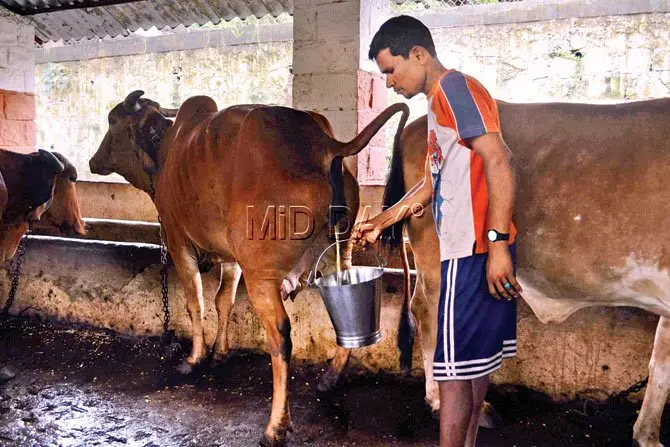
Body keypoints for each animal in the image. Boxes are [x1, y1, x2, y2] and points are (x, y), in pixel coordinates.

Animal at [89, 92, 410, 447]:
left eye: (112, 120)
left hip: (261, 276)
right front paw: (220, 352)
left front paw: (194, 358)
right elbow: (223, 300)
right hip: (335, 256)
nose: (93, 161)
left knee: (280, 337)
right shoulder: (231, 258)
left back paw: (275, 427)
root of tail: (323, 142)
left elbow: (195, 302)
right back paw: (331, 377)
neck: (166, 152)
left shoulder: (177, 241)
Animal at [362, 99, 670, 447]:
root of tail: (417, 125)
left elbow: (660, 368)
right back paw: (446, 401)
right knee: (429, 316)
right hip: (436, 259)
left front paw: (647, 435)